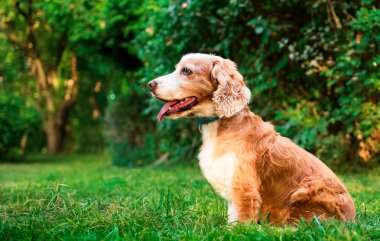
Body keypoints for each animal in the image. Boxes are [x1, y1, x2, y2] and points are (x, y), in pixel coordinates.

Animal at [148, 53, 356, 225]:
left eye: (186, 70)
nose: (150, 84)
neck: (222, 124)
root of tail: (351, 219)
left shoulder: (244, 189)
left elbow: (241, 223)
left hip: (307, 190)